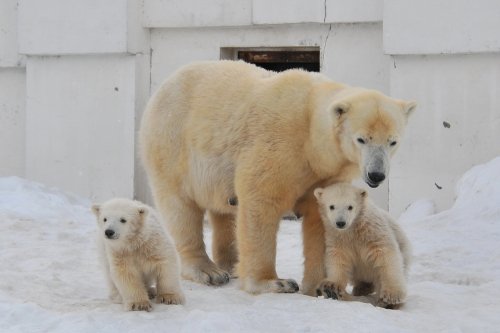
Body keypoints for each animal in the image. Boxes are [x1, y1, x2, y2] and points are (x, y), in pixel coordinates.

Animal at [139, 59, 416, 294]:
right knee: (180, 208)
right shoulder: (279, 143)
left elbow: (320, 216)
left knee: (224, 210)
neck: (310, 131)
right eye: (361, 139)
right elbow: (261, 199)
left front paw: (318, 286)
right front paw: (274, 283)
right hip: (173, 144)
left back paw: (231, 265)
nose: (376, 174)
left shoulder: (323, 173)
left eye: (392, 141)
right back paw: (209, 271)